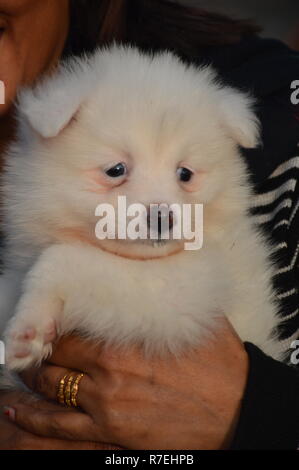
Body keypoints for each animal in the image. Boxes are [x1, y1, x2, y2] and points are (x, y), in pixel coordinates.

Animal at [0, 45, 284, 370]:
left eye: (185, 174)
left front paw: (26, 329)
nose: (162, 218)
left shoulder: (183, 292)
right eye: (116, 170)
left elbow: (58, 259)